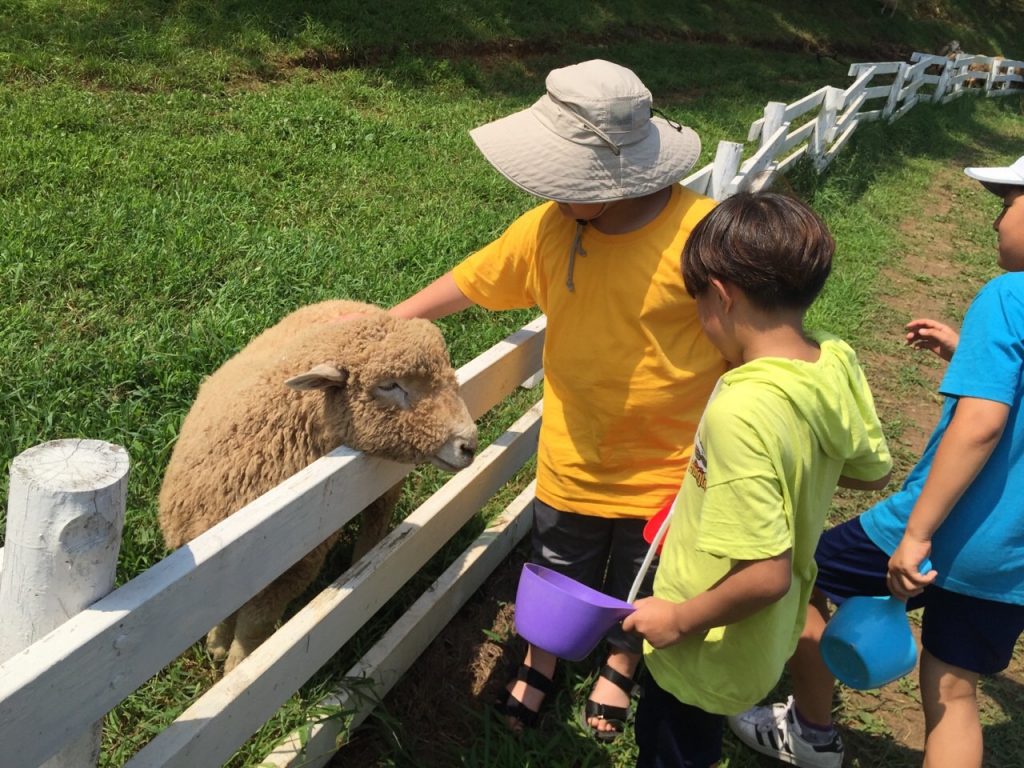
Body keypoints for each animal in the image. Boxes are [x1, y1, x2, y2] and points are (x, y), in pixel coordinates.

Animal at [159, 301, 479, 671]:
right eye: (389, 385)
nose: (469, 444)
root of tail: (355, 303)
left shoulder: (292, 572)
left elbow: (254, 627)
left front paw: (239, 666)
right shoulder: (211, 579)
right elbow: (222, 614)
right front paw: (216, 644)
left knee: (377, 517)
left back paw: (363, 563)